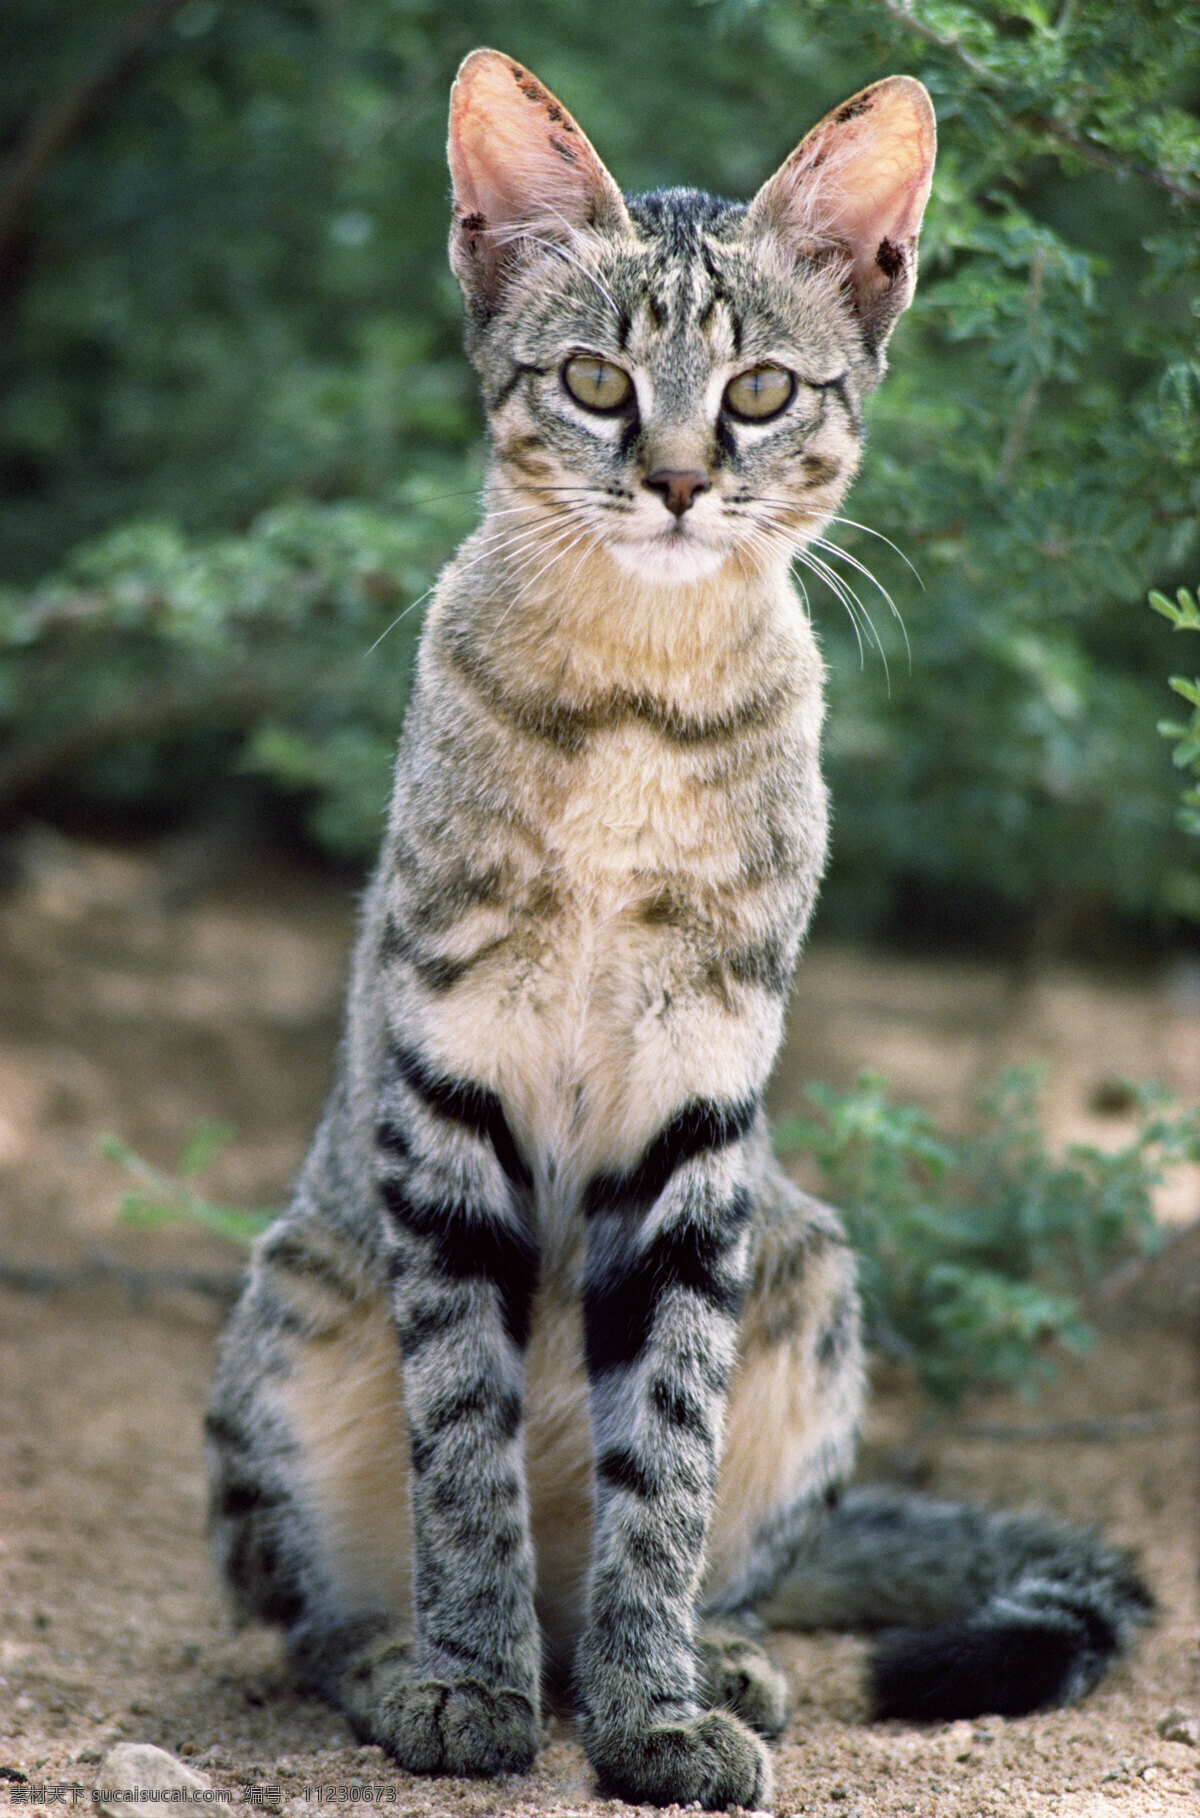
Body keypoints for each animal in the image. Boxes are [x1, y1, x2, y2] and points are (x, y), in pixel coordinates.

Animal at [206, 49, 1156, 1810]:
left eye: (761, 393)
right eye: (594, 378)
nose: (673, 479)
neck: (634, 697)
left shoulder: (699, 1107)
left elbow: (666, 1448)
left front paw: (651, 1706)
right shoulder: (451, 1085)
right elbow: (464, 1441)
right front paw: (468, 1680)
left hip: (812, 1263)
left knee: (726, 1548)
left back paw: (706, 1655)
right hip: (290, 1308)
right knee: (294, 1605)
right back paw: (406, 1658)